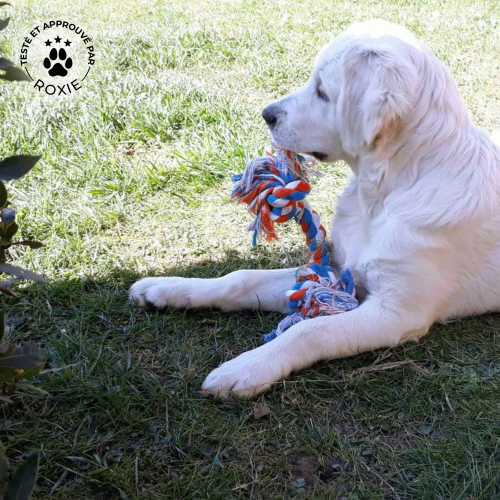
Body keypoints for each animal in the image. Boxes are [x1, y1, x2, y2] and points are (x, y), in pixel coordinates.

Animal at [131, 20, 500, 398]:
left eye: (323, 91)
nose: (267, 114)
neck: (385, 192)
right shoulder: (337, 268)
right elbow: (240, 277)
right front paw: (167, 288)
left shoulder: (397, 312)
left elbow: (310, 330)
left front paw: (246, 368)